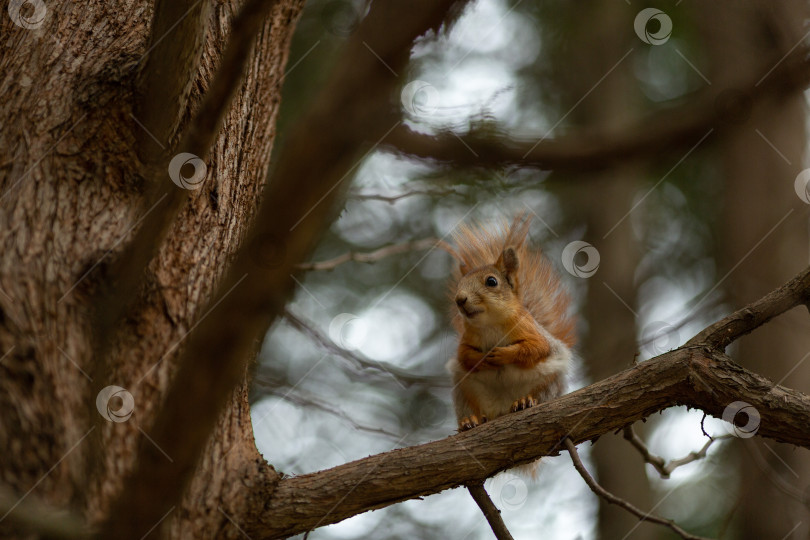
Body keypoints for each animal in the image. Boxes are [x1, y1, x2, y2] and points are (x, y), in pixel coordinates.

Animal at [442, 214, 576, 430]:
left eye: (491, 281)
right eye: (459, 285)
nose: (459, 300)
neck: (490, 324)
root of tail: (501, 409)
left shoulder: (530, 330)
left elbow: (536, 348)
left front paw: (504, 354)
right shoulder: (467, 340)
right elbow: (464, 355)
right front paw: (481, 359)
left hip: (549, 382)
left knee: (540, 392)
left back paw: (525, 401)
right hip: (465, 390)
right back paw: (470, 420)